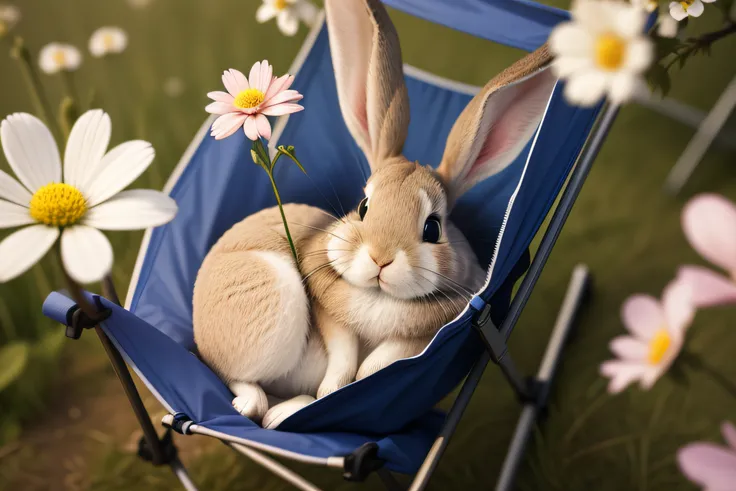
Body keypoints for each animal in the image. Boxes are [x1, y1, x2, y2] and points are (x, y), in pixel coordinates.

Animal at [191, 0, 556, 430]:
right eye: (364, 207)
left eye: (433, 227)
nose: (381, 258)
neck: (380, 298)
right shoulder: (330, 316)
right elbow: (342, 361)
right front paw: (335, 390)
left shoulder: (420, 338)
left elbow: (381, 362)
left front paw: (359, 383)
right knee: (235, 377)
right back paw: (261, 410)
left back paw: (280, 412)